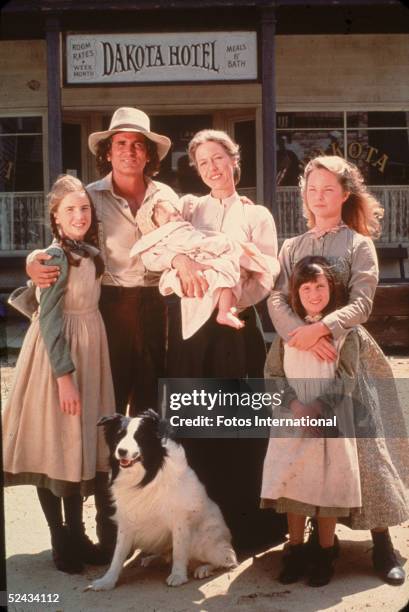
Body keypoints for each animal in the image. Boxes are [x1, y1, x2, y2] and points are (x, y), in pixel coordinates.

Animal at [87, 408, 237, 592]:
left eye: (139, 437)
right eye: (119, 435)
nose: (121, 451)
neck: (147, 476)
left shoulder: (179, 519)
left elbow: (179, 551)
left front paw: (178, 575)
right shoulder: (127, 521)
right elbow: (118, 554)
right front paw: (107, 581)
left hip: (202, 540)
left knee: (227, 558)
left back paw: (205, 568)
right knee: (168, 554)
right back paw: (153, 559)